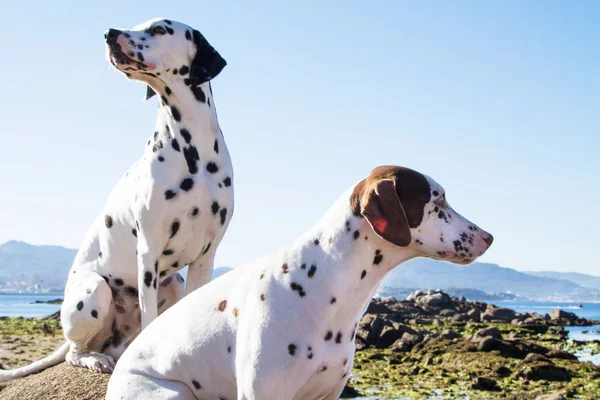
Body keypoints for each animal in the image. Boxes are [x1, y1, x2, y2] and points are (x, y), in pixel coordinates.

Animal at [0, 18, 233, 382]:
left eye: (161, 29)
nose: (109, 34)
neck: (192, 149)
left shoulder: (204, 257)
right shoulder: (148, 251)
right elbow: (150, 318)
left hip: (173, 285)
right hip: (95, 291)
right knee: (77, 351)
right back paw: (95, 359)